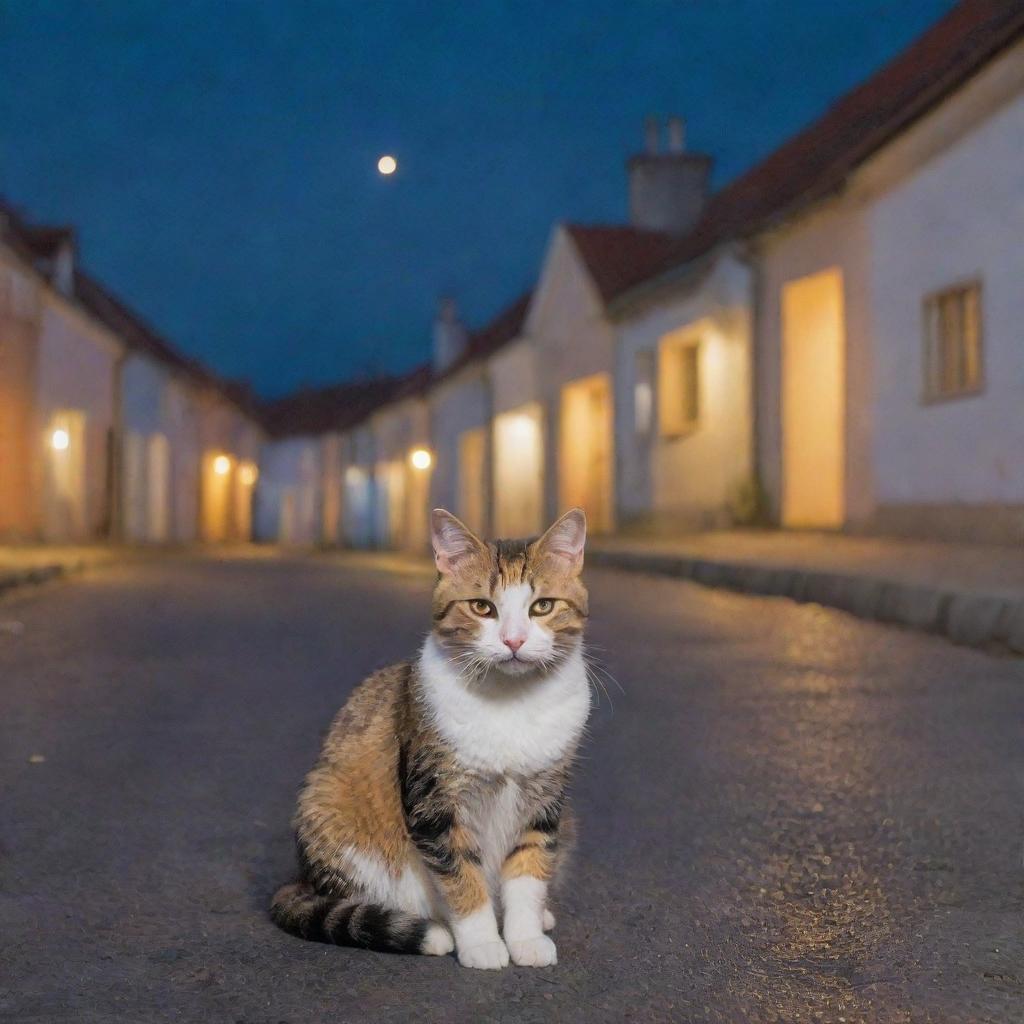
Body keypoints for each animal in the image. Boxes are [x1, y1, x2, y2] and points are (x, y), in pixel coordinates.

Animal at [272, 507, 593, 970]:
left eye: (543, 606)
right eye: (482, 607)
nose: (513, 640)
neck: (511, 701)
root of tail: (303, 879)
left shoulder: (545, 800)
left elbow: (529, 868)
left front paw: (526, 938)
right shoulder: (435, 800)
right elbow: (461, 876)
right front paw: (482, 944)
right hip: (329, 810)